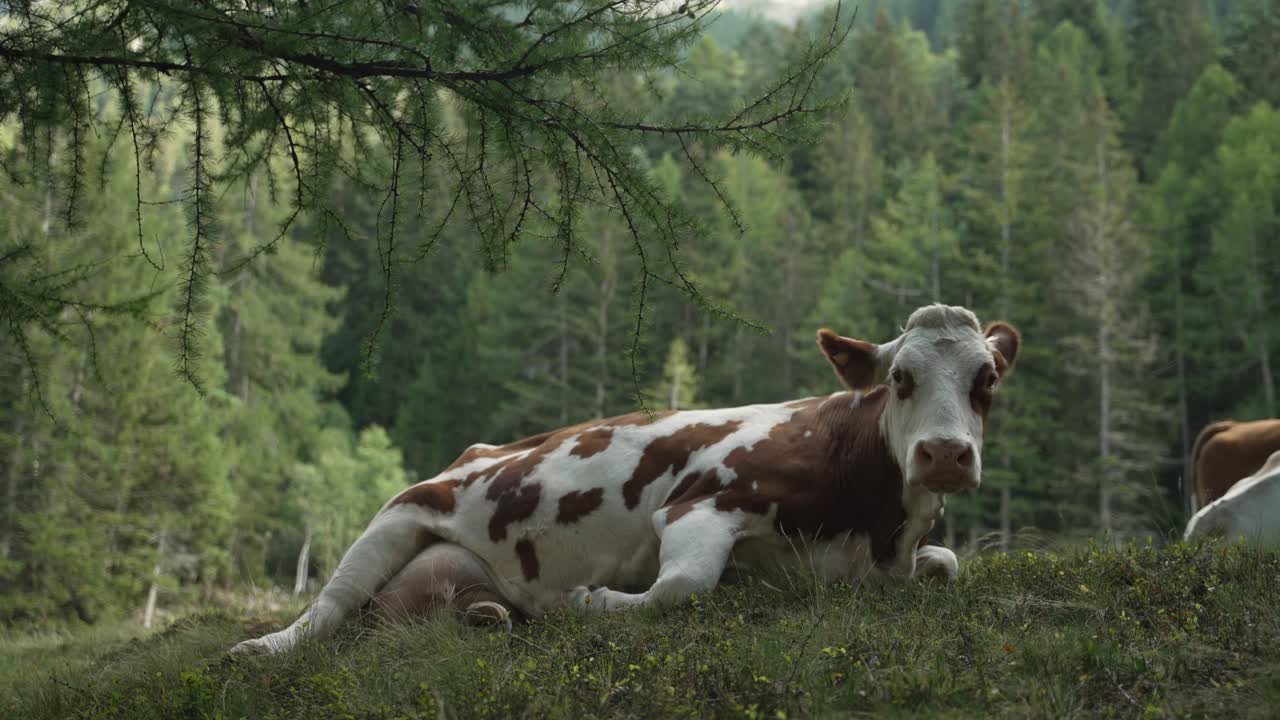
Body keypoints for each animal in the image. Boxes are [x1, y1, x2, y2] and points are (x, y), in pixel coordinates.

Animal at [231, 304, 1020, 655]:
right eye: (900, 377)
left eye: (985, 381)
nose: (944, 454)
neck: (876, 530)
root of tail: (476, 451)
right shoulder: (703, 504)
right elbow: (683, 586)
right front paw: (593, 601)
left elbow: (949, 563)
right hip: (400, 510)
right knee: (330, 606)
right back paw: (259, 650)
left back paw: (486, 617)